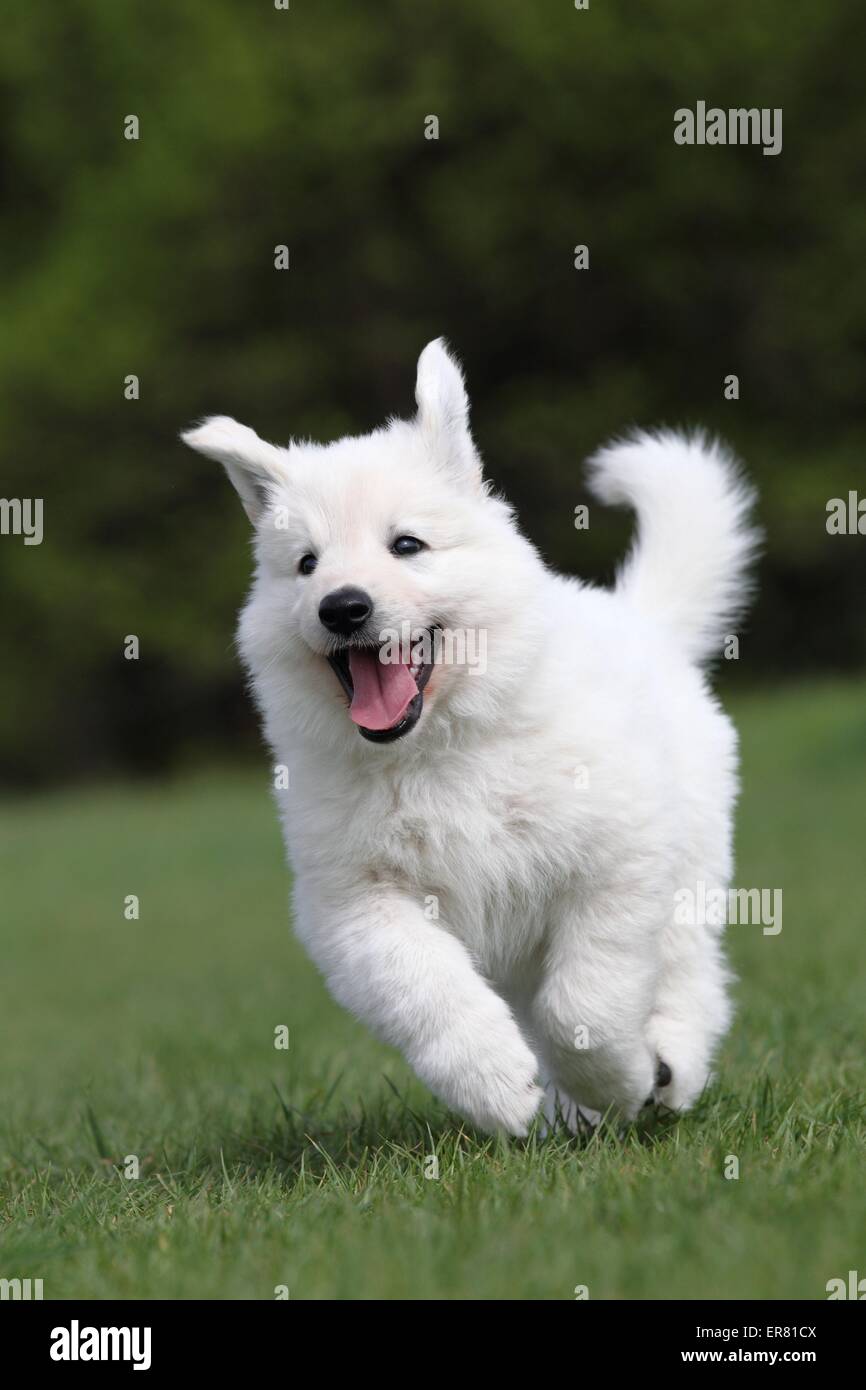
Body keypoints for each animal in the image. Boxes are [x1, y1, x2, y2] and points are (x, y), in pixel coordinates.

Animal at [183, 341, 756, 1134]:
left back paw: (668, 1067)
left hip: (693, 855)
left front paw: (618, 1081)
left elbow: (585, 1000)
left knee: (687, 969)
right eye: (307, 564)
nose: (342, 607)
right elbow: (425, 987)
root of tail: (640, 619)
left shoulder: (617, 860)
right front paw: (495, 1085)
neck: (437, 750)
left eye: (407, 545)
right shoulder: (357, 902)